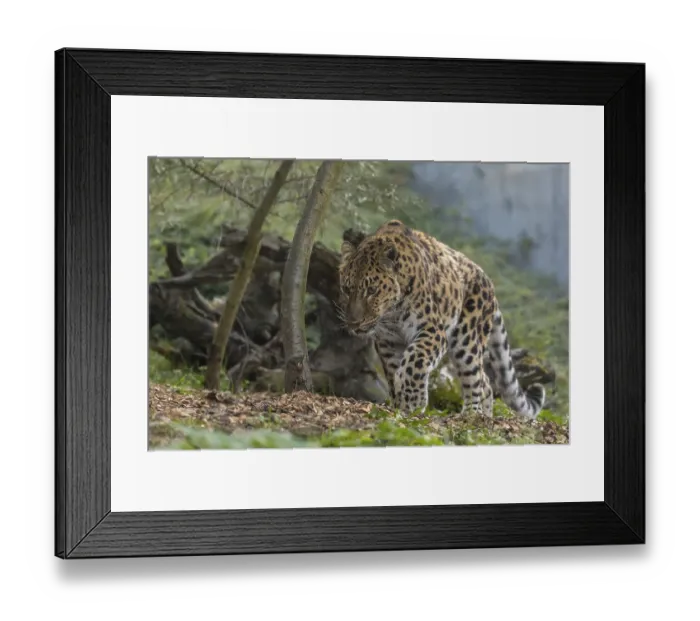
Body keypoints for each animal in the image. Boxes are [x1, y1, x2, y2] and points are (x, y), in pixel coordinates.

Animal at [337, 219, 546, 419]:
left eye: (372, 290)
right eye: (346, 289)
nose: (354, 324)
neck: (391, 313)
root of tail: (489, 284)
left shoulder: (432, 330)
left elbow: (414, 359)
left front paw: (413, 400)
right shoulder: (388, 342)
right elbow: (394, 369)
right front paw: (400, 403)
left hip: (467, 340)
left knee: (478, 378)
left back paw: (471, 414)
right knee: (485, 381)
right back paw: (484, 416)